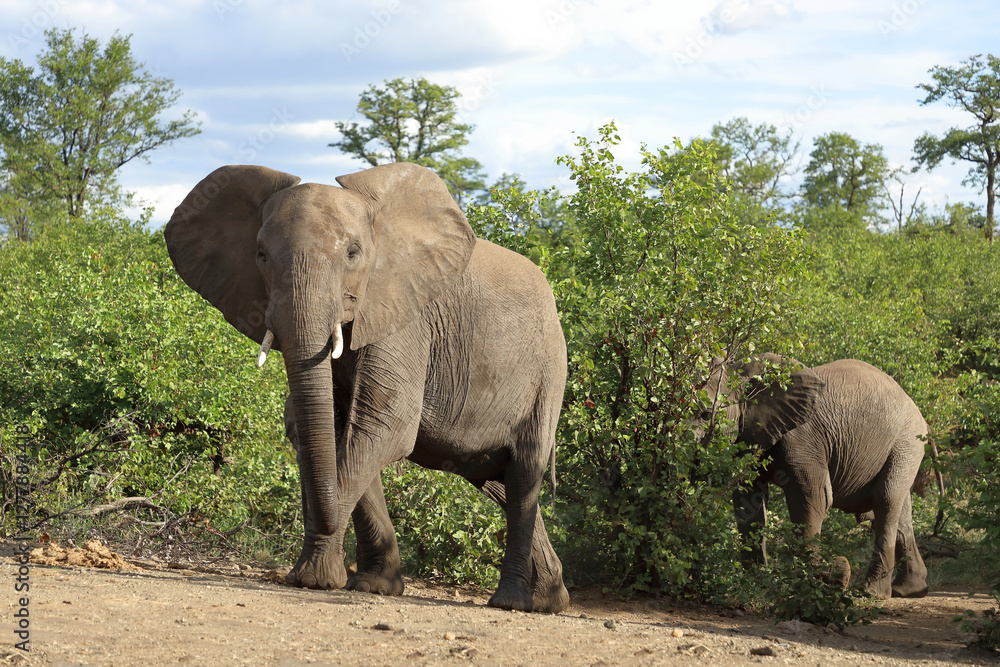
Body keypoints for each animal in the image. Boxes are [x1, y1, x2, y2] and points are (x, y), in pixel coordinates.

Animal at [164, 162, 569, 613]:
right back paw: (551, 600)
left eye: (353, 253)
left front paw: (313, 580)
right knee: (497, 480)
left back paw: (512, 602)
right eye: (261, 255)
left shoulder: (404, 314)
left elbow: (383, 423)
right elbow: (336, 431)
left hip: (549, 372)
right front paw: (373, 586)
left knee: (524, 471)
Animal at [699, 353, 929, 599]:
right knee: (900, 511)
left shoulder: (803, 438)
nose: (841, 568)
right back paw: (909, 590)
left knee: (886, 500)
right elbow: (748, 501)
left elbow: (813, 497)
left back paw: (872, 593)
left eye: (705, 415)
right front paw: (757, 587)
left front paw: (814, 585)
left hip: (907, 441)